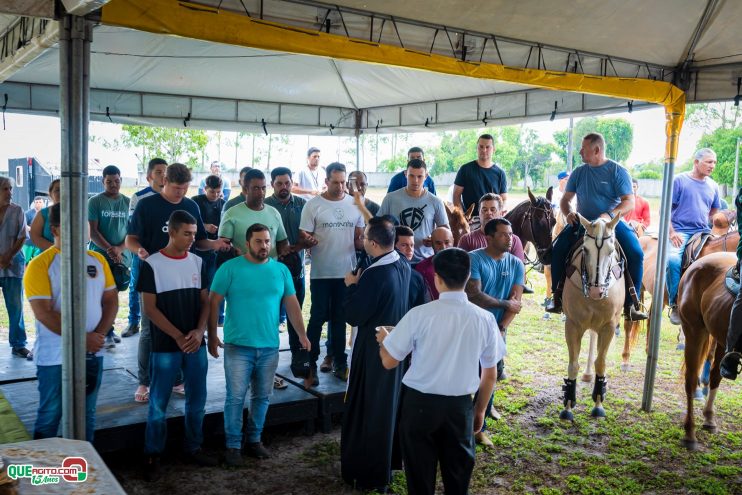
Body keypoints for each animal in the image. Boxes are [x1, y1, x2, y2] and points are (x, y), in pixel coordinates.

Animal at [680, 254, 740, 452]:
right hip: (694, 330)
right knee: (691, 379)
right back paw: (690, 433)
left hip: (722, 339)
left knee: (715, 375)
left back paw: (709, 418)